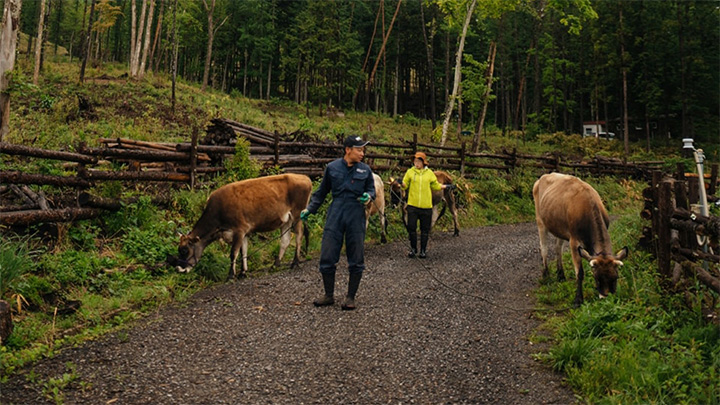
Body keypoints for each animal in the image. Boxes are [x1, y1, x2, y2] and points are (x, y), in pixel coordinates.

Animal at [177, 172, 312, 280]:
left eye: (184, 250)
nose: (179, 269)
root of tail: (304, 177)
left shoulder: (239, 230)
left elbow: (234, 253)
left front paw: (231, 275)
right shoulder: (244, 232)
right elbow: (244, 251)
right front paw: (243, 272)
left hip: (297, 214)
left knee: (299, 235)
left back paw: (295, 262)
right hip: (286, 220)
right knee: (285, 240)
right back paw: (275, 264)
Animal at [532, 171, 628, 306]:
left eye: (615, 277)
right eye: (597, 278)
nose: (607, 299)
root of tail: (544, 176)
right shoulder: (574, 241)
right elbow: (580, 272)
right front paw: (578, 299)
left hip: (559, 227)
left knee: (558, 247)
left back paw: (561, 275)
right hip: (540, 220)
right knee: (544, 247)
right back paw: (546, 275)